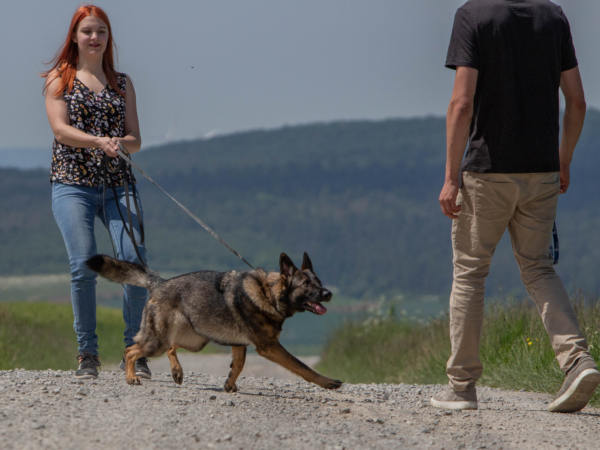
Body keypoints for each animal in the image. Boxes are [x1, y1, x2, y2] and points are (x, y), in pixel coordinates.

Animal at [86, 251, 344, 392]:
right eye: (307, 285)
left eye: (319, 282)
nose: (329, 293)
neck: (268, 293)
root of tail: (160, 282)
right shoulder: (269, 347)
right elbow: (302, 366)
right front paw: (327, 382)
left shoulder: (239, 345)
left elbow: (238, 366)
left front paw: (230, 385)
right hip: (156, 342)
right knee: (131, 350)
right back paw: (131, 377)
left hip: (194, 340)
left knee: (171, 347)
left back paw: (177, 372)